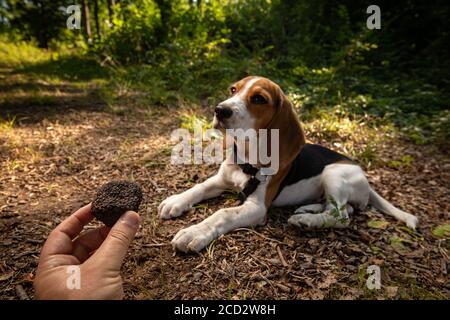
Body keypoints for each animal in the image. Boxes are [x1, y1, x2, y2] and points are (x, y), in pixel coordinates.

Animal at [158, 75, 418, 252]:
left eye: (258, 98)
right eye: (233, 89)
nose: (220, 110)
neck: (247, 159)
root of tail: (362, 175)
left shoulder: (256, 207)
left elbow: (223, 214)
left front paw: (195, 232)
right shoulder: (221, 179)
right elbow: (199, 187)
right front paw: (176, 201)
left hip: (334, 173)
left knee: (342, 216)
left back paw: (306, 221)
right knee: (344, 209)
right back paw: (307, 210)